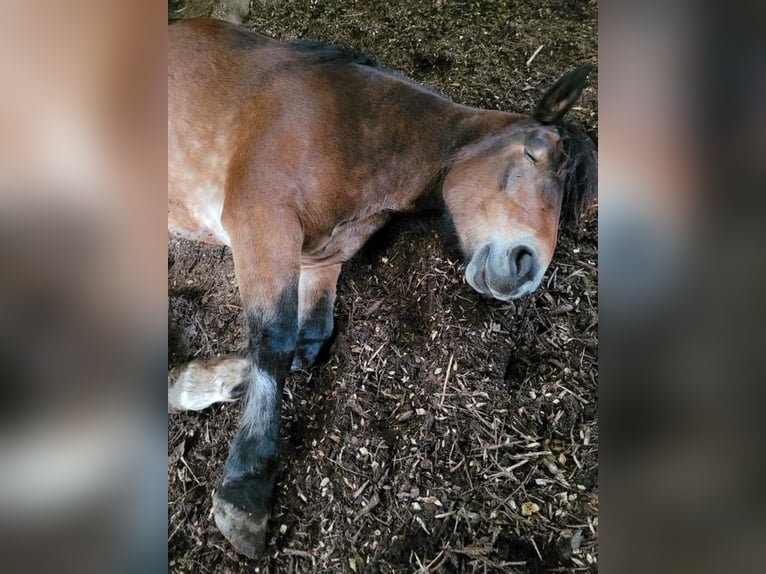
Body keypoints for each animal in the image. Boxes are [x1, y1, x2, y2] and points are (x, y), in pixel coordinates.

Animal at [168, 16, 600, 560]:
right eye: (531, 151)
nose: (527, 267)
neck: (359, 133)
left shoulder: (321, 260)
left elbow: (305, 345)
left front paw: (189, 384)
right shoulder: (261, 222)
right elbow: (274, 343)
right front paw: (246, 491)